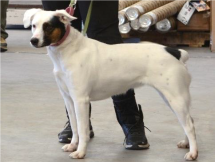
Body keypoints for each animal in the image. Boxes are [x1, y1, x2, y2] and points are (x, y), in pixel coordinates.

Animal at [23, 9, 198, 161]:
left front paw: (80, 152)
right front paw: (73, 145)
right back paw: (186, 144)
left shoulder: (81, 100)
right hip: (171, 98)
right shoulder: (68, 99)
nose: (33, 40)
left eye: (48, 26)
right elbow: (74, 126)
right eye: (34, 25)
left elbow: (82, 128)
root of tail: (175, 52)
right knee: (189, 121)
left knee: (189, 125)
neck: (68, 51)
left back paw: (193, 153)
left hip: (175, 97)